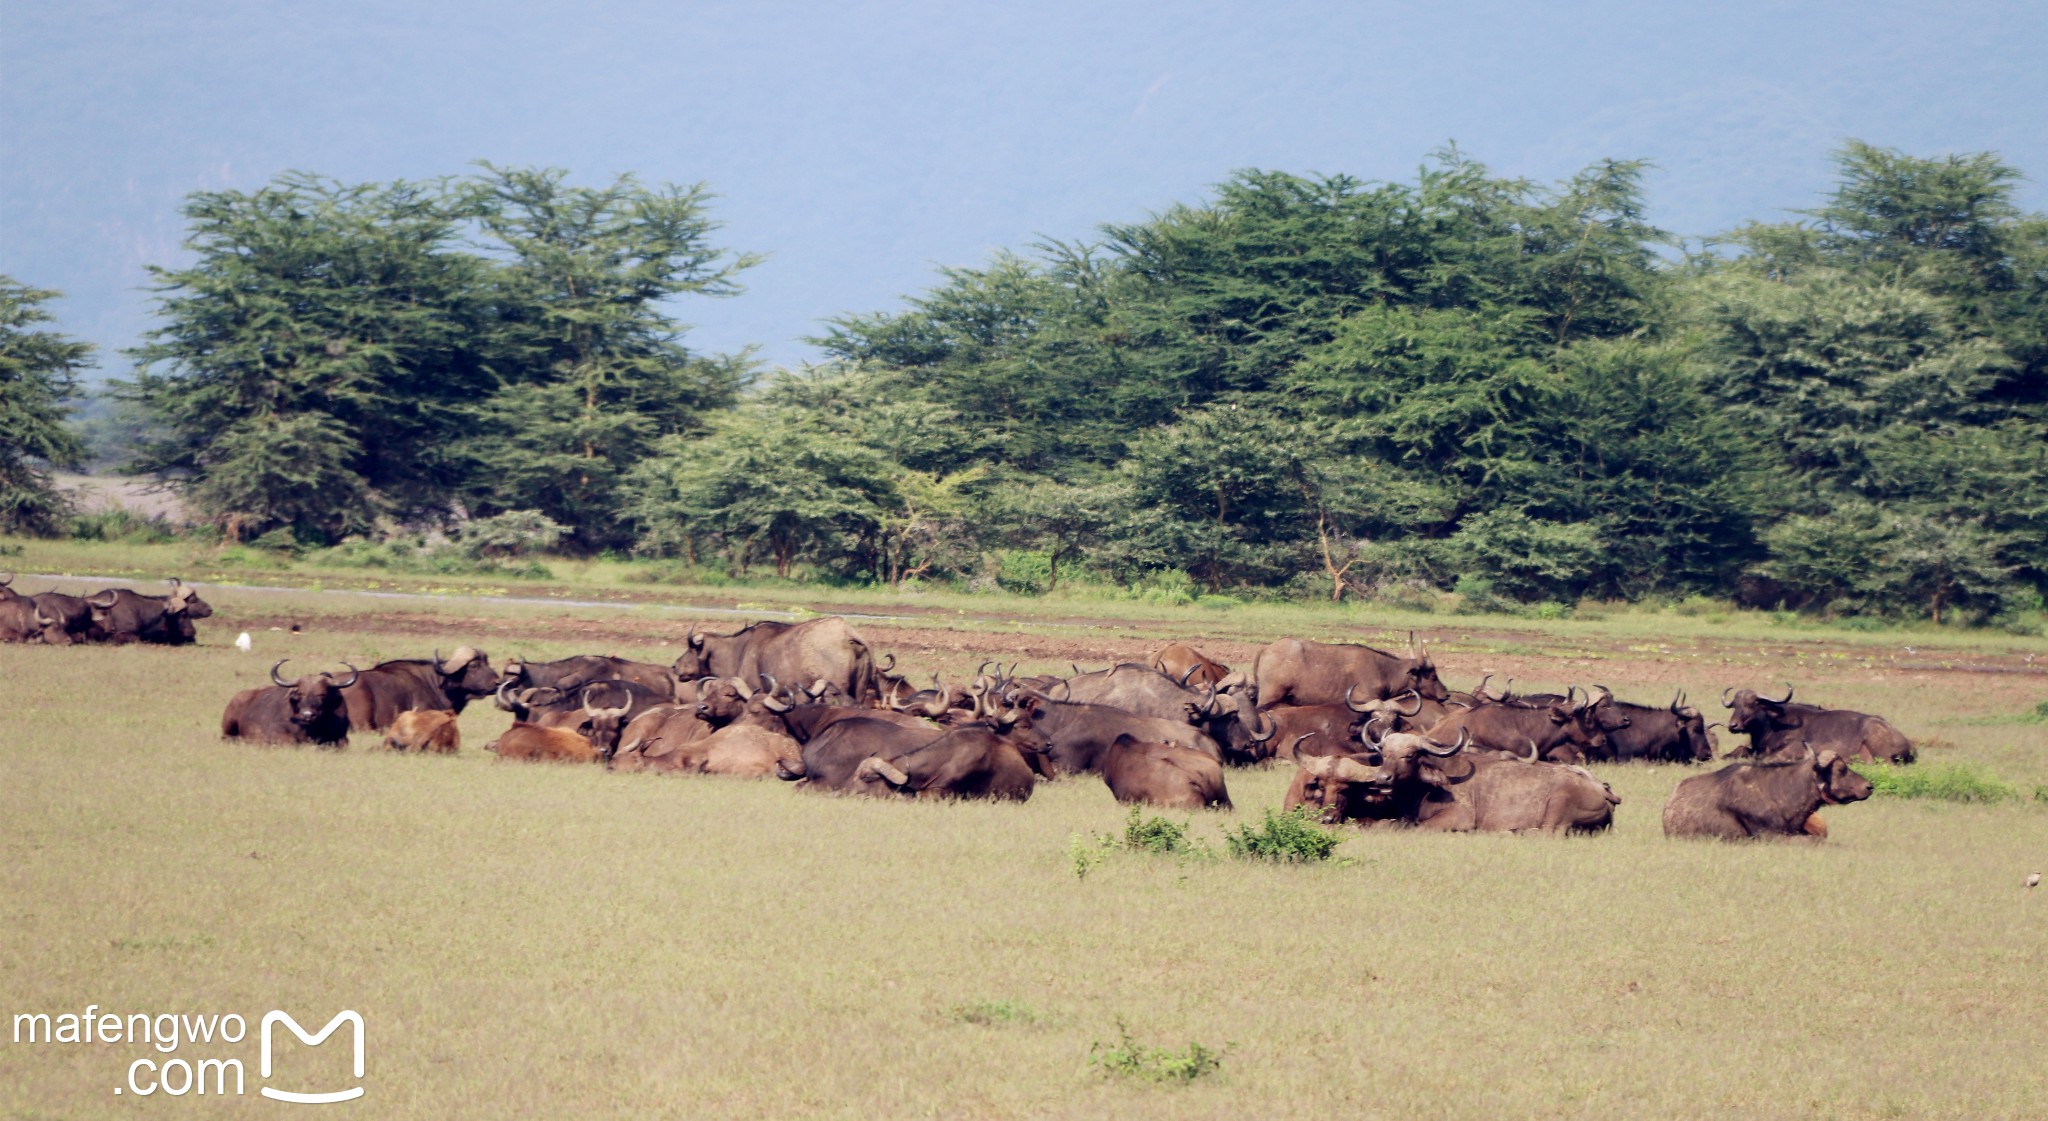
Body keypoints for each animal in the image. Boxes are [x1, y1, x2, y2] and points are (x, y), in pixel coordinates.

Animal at [221, 663, 360, 750]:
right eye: (300, 693)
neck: (312, 729)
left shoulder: (342, 736)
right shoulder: (276, 733)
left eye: (322, 694)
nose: (308, 715)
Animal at [1720, 688, 1908, 766]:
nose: (1733, 725)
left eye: (1752, 704)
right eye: (1735, 705)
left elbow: (1767, 759)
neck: (1772, 726)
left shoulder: (1794, 749)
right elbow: (1740, 749)